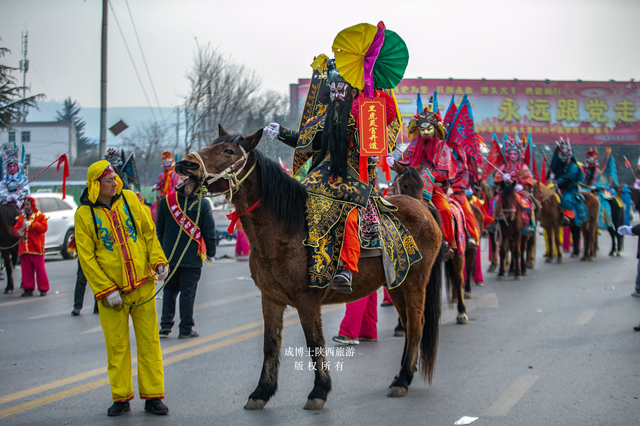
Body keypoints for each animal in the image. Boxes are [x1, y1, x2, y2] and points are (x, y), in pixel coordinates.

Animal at [175, 125, 444, 410]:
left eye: (228, 151)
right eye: (211, 145)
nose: (186, 164)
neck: (284, 230)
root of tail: (423, 206)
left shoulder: (307, 300)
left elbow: (314, 343)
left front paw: (319, 391)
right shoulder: (270, 298)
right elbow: (270, 343)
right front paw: (261, 392)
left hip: (416, 281)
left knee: (417, 324)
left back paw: (403, 380)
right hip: (396, 283)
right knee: (408, 323)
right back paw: (402, 374)